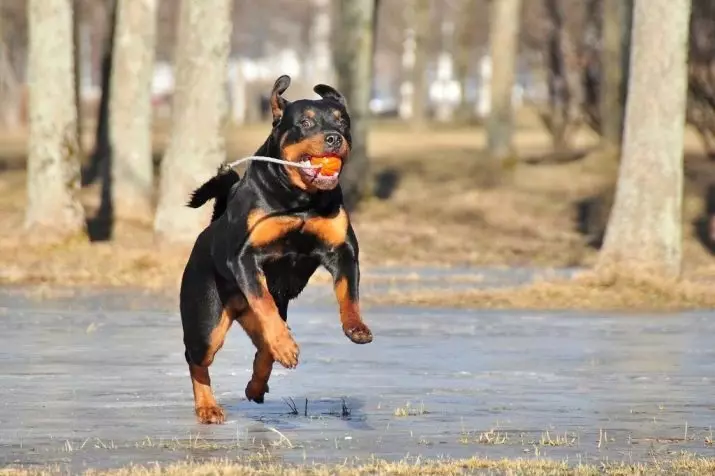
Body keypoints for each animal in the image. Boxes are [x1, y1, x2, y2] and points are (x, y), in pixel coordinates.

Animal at [180, 74, 374, 424]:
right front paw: (285, 346)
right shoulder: (245, 257)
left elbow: (348, 293)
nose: (334, 138)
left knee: (263, 347)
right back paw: (208, 406)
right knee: (198, 357)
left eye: (343, 121)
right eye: (306, 123)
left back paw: (257, 385)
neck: (301, 200)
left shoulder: (342, 250)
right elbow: (264, 302)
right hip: (206, 319)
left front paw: (356, 327)